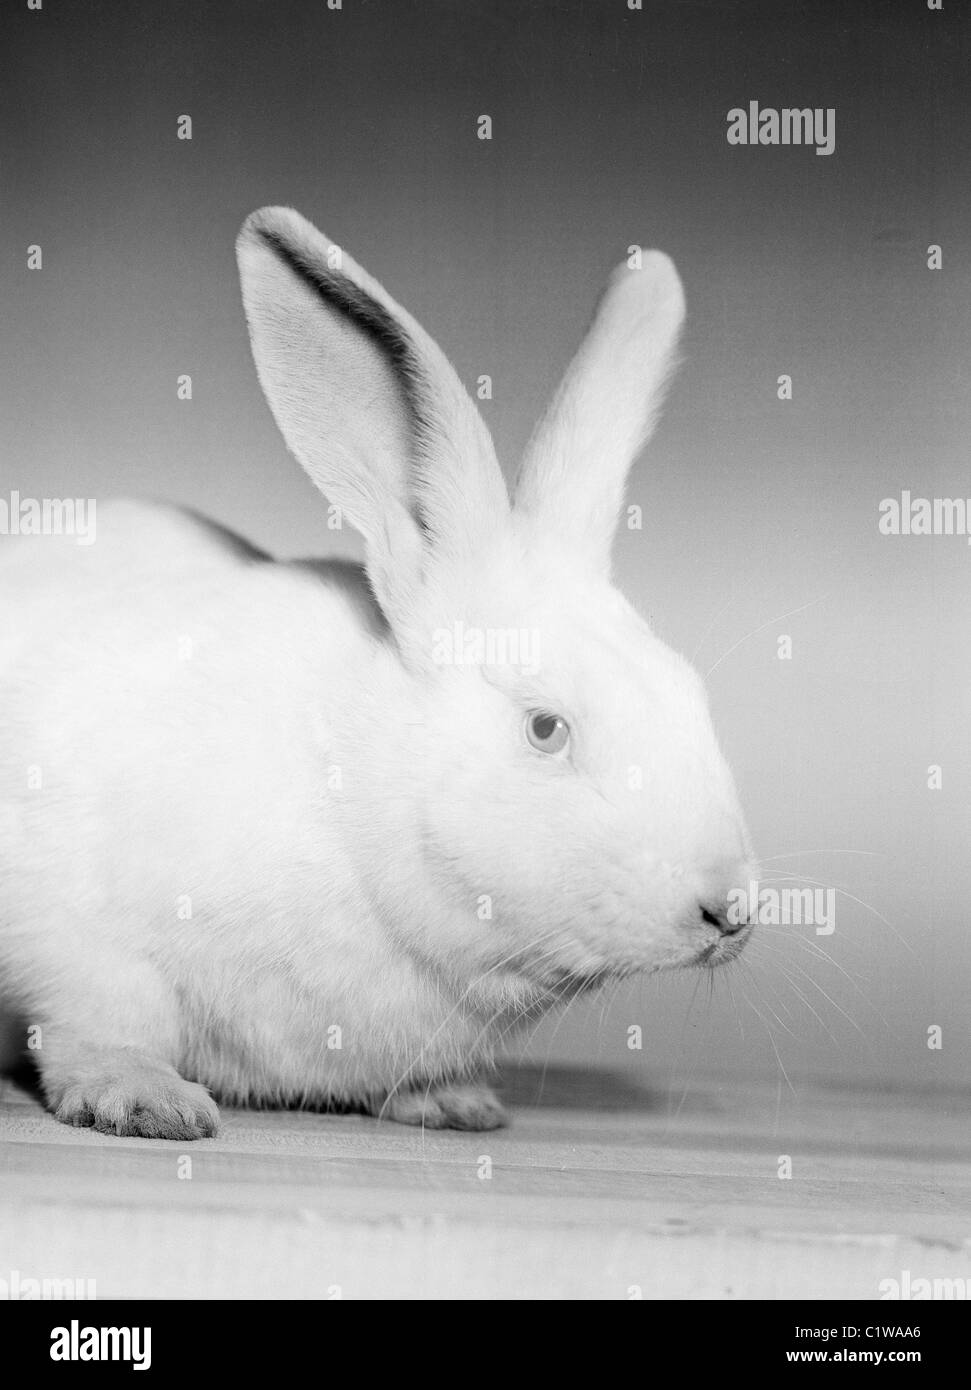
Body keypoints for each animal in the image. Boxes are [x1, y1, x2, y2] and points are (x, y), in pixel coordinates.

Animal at [0, 207, 755, 1139]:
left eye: (690, 695)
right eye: (545, 728)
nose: (730, 908)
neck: (350, 793)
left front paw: (455, 1103)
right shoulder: (79, 939)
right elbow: (97, 1025)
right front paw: (145, 1101)